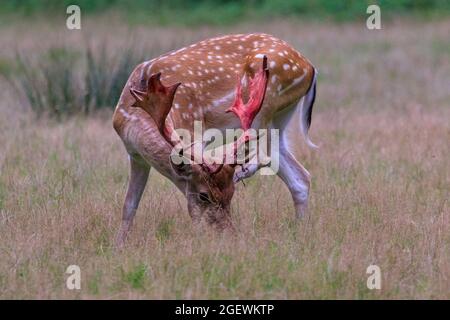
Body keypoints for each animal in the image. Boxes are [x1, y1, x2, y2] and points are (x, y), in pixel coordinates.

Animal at [112, 33, 316, 245]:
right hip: (279, 120)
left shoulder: (194, 130)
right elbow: (129, 206)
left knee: (267, 157)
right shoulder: (135, 156)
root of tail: (309, 66)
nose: (228, 234)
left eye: (232, 193)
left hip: (264, 112)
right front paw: (118, 245)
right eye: (204, 196)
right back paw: (300, 233)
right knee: (299, 178)